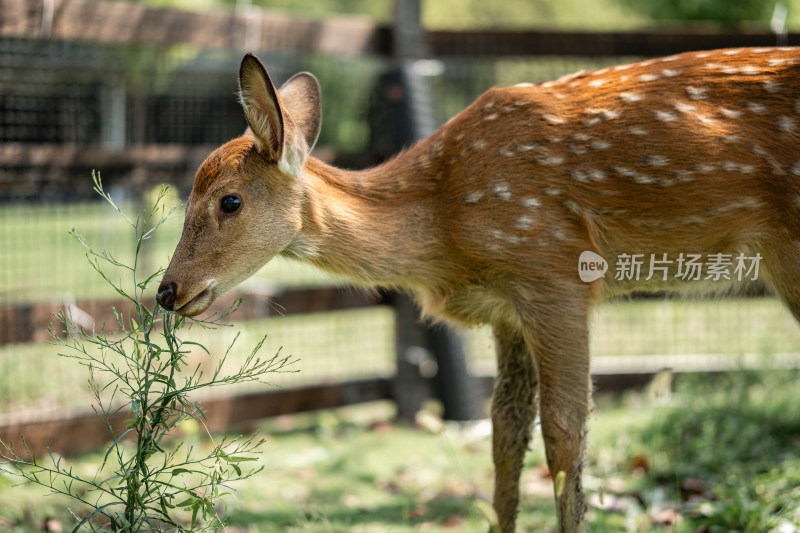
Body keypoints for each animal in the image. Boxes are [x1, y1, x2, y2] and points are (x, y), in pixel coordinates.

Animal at [156, 47, 800, 528]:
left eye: (229, 201)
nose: (166, 291)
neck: (446, 227)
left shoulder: (554, 271)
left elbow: (565, 431)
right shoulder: (505, 311)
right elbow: (505, 434)